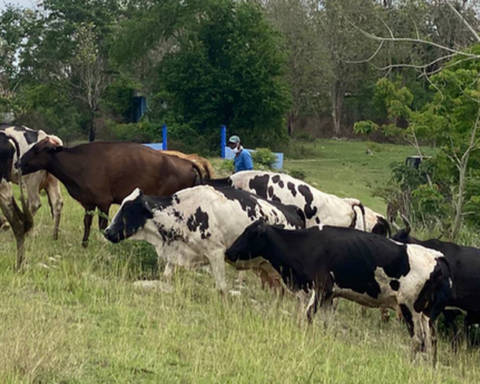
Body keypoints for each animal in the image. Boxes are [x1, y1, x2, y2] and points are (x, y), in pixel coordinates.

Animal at [19, 140, 204, 248]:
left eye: (37, 150)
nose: (19, 162)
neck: (81, 162)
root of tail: (188, 162)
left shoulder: (103, 202)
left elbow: (102, 224)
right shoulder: (88, 203)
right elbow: (87, 223)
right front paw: (84, 244)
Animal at [106, 185, 304, 292]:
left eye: (128, 208)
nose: (107, 232)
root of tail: (292, 210)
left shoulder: (216, 252)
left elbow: (221, 287)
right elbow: (166, 276)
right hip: (264, 268)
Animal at [225, 220, 450, 364]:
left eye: (250, 233)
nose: (228, 252)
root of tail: (436, 257)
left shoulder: (321, 288)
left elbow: (308, 316)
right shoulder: (329, 295)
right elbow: (327, 324)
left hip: (410, 308)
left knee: (418, 341)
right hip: (426, 314)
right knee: (431, 342)